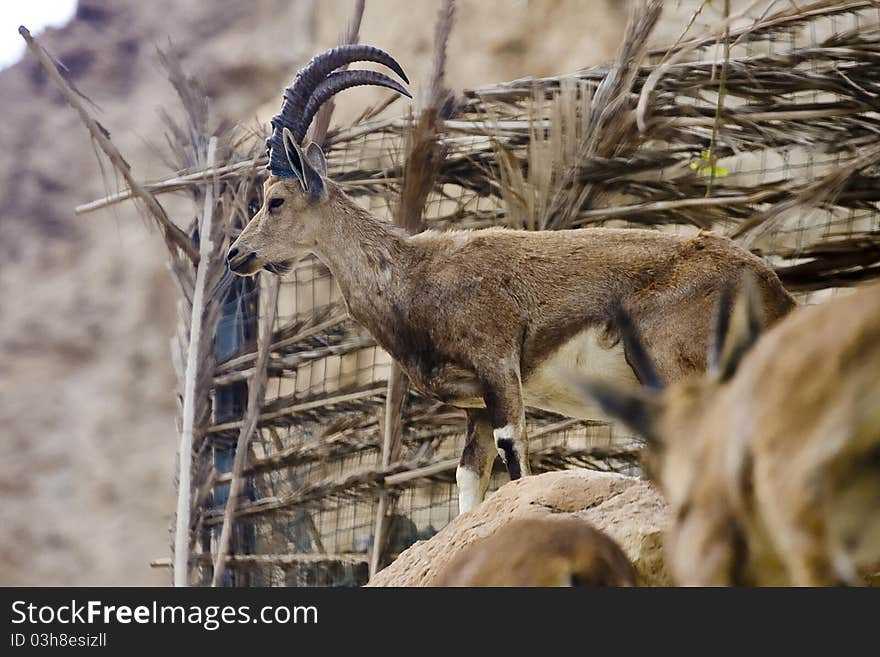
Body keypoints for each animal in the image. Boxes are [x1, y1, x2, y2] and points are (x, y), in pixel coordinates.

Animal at [229, 44, 796, 512]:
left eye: (275, 199)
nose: (237, 255)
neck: (413, 276)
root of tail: (769, 287)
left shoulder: (499, 365)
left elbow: (516, 459)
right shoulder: (474, 405)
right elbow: (469, 480)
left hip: (672, 360)